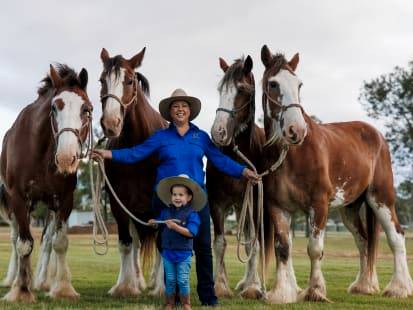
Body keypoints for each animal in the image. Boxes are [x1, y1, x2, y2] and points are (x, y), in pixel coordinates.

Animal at [0, 64, 91, 302]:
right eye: (54, 108)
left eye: (87, 109)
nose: (67, 158)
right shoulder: (19, 198)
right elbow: (24, 244)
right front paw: (21, 291)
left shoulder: (64, 200)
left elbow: (59, 242)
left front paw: (63, 289)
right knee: (15, 238)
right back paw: (13, 280)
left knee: (47, 240)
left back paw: (41, 281)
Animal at [99, 47, 167, 296]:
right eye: (102, 80)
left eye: (129, 81)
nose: (111, 123)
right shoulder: (119, 204)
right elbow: (126, 243)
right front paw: (126, 286)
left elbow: (162, 243)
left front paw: (161, 288)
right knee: (136, 243)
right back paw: (137, 280)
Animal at [260, 44, 412, 304]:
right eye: (273, 84)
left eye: (299, 84)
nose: (296, 130)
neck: (293, 155)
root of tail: (377, 135)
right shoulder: (278, 206)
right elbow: (283, 248)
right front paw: (282, 293)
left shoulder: (319, 205)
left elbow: (315, 249)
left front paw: (315, 291)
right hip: (349, 208)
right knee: (363, 240)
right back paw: (364, 286)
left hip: (381, 198)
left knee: (397, 236)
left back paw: (399, 288)